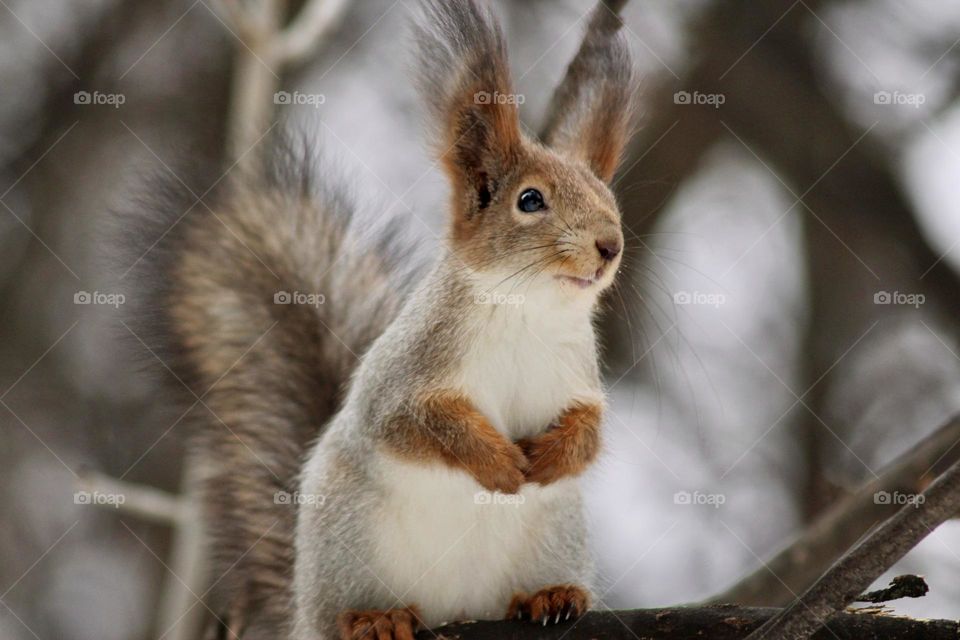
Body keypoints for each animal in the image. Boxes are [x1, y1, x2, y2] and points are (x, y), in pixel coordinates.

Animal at [125, 0, 636, 639]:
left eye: (610, 200)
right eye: (530, 201)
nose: (610, 245)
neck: (528, 314)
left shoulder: (577, 375)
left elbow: (592, 429)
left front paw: (556, 455)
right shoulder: (406, 369)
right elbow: (412, 422)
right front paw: (496, 462)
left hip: (556, 532)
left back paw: (550, 596)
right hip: (346, 545)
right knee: (343, 610)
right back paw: (373, 617)